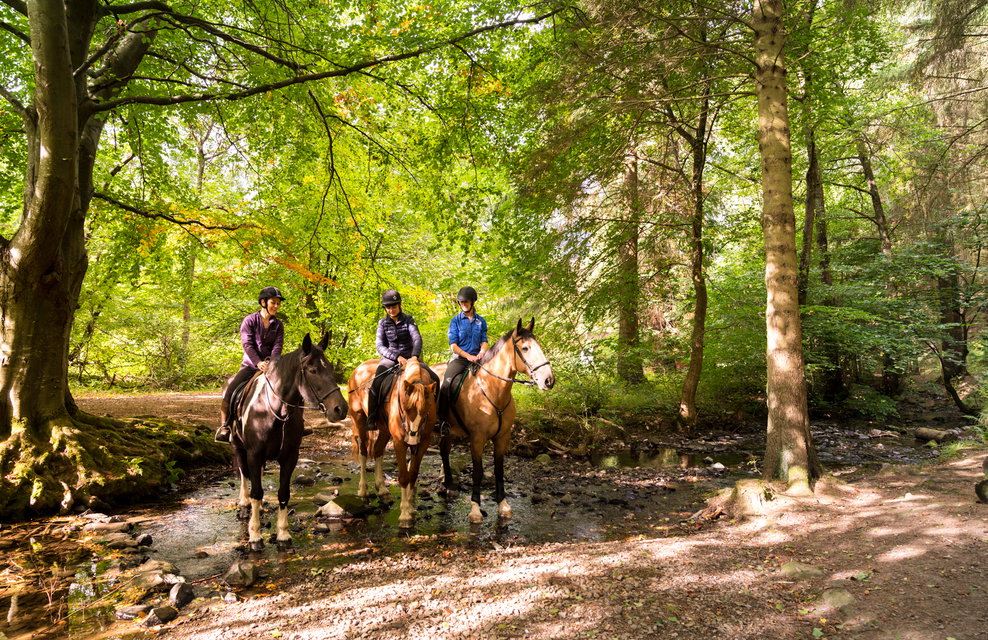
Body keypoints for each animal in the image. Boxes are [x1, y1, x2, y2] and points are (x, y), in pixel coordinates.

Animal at [224, 333, 348, 551]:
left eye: (331, 369)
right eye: (313, 370)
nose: (340, 409)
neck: (276, 411)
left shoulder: (290, 457)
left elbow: (283, 493)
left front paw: (283, 534)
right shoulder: (254, 454)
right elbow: (256, 491)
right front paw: (255, 535)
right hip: (238, 447)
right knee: (244, 474)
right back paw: (244, 504)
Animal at [347, 358, 439, 527]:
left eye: (428, 409)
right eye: (406, 408)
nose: (412, 437)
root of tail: (358, 368)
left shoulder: (423, 444)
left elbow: (413, 474)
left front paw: (411, 507)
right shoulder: (399, 442)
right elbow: (403, 476)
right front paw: (405, 514)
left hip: (384, 430)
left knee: (377, 450)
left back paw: (382, 491)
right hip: (360, 420)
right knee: (363, 453)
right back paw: (363, 490)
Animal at [433, 318, 555, 523]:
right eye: (525, 348)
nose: (548, 380)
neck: (492, 390)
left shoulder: (502, 437)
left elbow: (499, 469)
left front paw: (503, 505)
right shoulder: (477, 438)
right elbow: (478, 471)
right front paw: (475, 509)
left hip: (450, 431)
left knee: (444, 451)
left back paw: (449, 485)